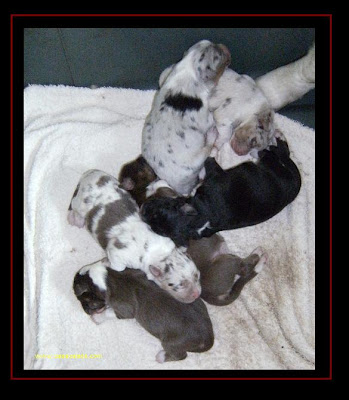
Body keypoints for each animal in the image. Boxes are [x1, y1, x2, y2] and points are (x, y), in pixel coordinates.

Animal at [67, 169, 201, 304]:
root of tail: (89, 174)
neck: (162, 254)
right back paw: (75, 219)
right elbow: (118, 266)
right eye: (176, 285)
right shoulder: (117, 252)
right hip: (79, 202)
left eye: (196, 275)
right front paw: (105, 262)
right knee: (75, 206)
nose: (197, 294)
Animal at [72, 258, 212, 364]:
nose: (86, 311)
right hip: (199, 303)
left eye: (86, 302)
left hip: (172, 342)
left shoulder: (125, 309)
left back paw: (161, 357)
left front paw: (97, 317)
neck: (108, 277)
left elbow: (111, 313)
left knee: (181, 355)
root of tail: (208, 339)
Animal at [140, 39, 230, 196]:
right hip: (197, 159)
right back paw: (212, 136)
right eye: (219, 56)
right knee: (206, 149)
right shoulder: (206, 117)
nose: (224, 46)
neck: (190, 68)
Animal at [140, 134, 300, 247]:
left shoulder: (212, 173)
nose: (142, 209)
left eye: (161, 208)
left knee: (279, 152)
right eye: (154, 228)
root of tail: (296, 183)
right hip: (271, 162)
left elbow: (207, 158)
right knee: (278, 153)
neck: (202, 215)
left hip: (272, 162)